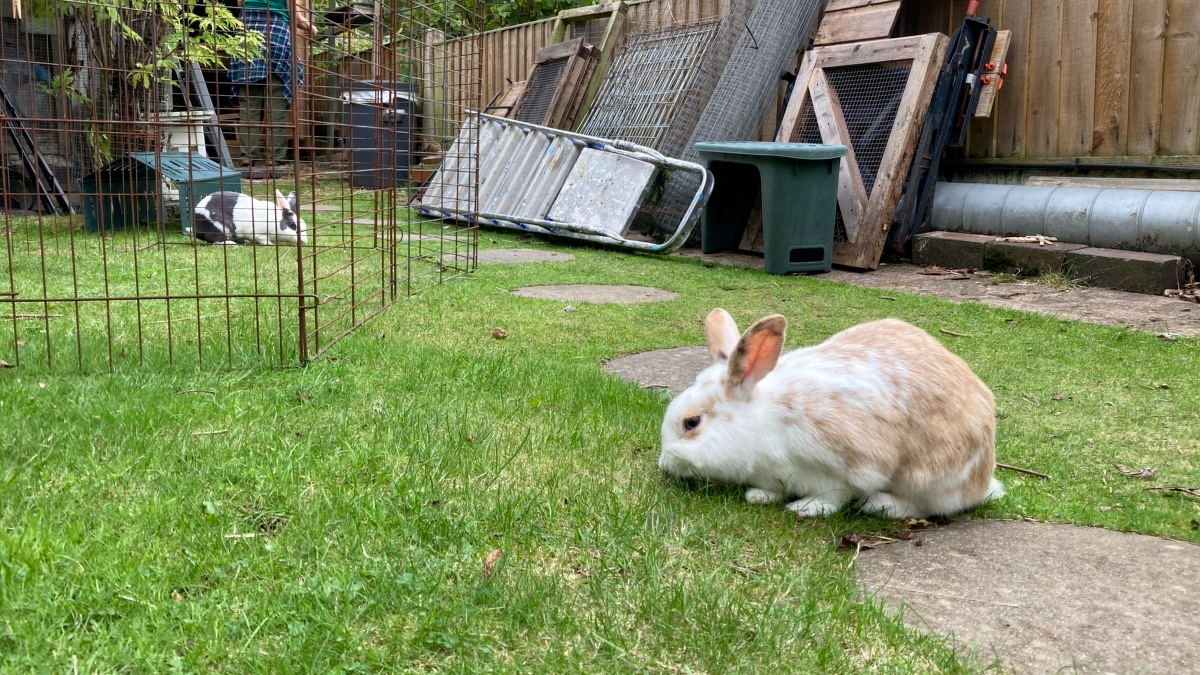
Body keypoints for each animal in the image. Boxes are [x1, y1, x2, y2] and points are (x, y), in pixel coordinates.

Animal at [658, 308, 1004, 519]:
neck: (762, 420)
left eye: (691, 422)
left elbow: (836, 494)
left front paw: (806, 508)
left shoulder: (846, 464)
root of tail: (983, 481)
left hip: (929, 478)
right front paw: (759, 496)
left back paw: (880, 505)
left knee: (925, 506)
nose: (664, 465)